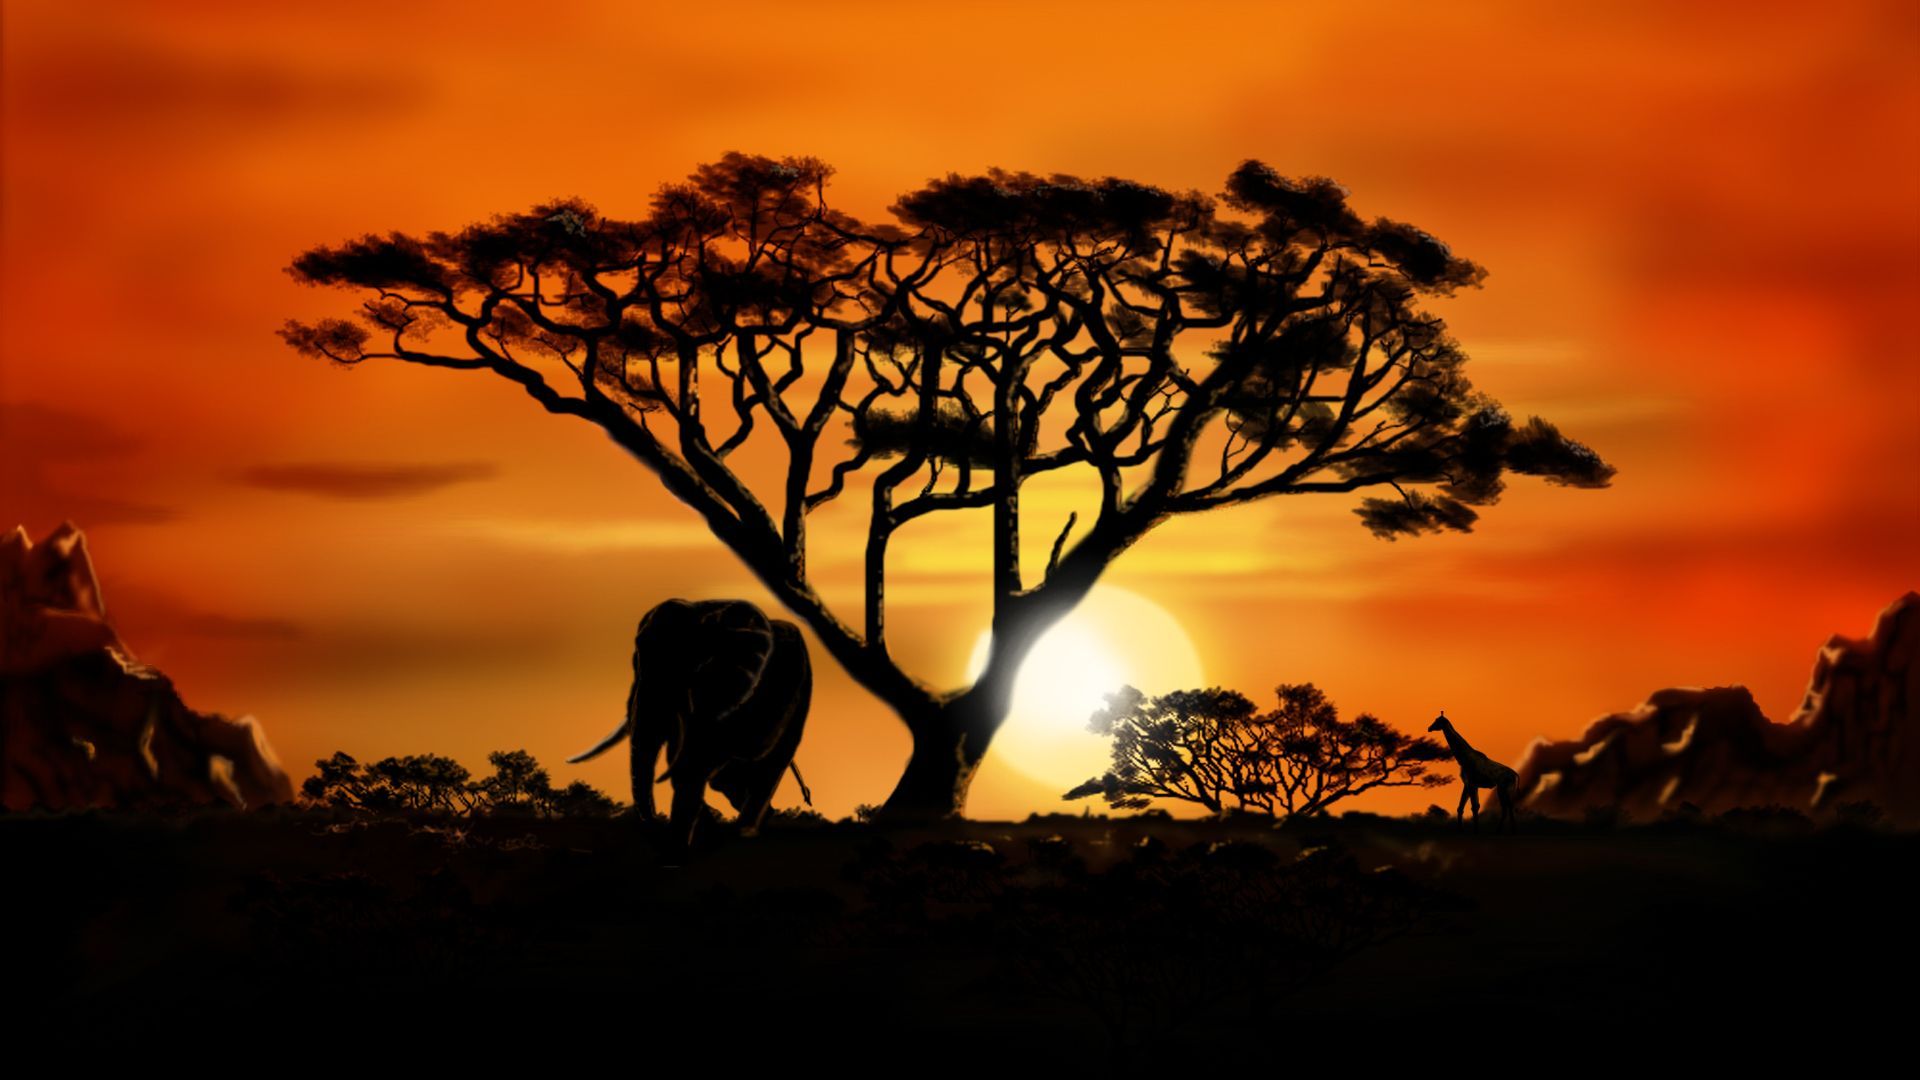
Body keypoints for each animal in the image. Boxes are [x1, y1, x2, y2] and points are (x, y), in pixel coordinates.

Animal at [568, 598, 812, 847]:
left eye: (683, 663)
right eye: (635, 660)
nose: (654, 825)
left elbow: (695, 759)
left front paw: (681, 844)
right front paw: (703, 834)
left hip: (800, 700)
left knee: (769, 765)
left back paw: (745, 831)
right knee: (726, 777)